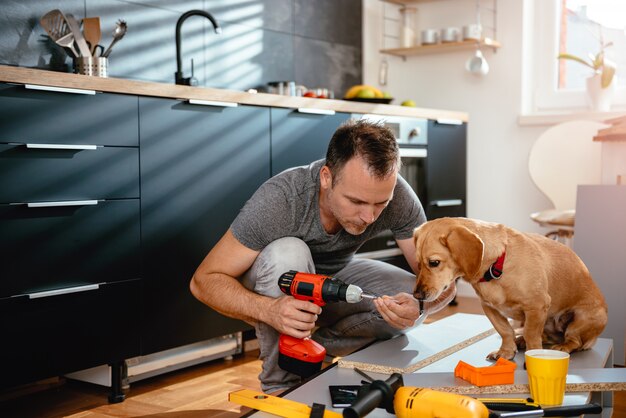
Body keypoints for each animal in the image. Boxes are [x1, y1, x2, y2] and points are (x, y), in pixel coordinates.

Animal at [410, 217, 604, 360]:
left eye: (434, 263)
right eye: (418, 264)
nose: (417, 295)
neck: (496, 267)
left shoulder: (537, 306)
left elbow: (531, 334)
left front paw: (533, 355)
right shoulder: (489, 308)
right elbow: (505, 330)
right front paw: (506, 352)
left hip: (580, 320)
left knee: (575, 341)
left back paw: (562, 346)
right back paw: (521, 341)